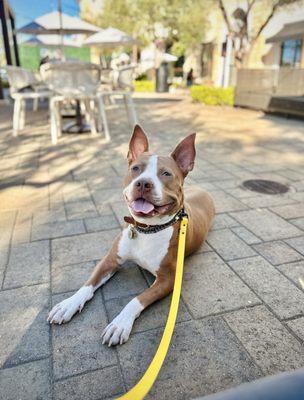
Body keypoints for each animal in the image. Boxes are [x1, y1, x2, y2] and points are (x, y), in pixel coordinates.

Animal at [48, 126, 214, 346]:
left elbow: (136, 300)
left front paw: (120, 324)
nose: (143, 183)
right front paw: (68, 304)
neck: (146, 230)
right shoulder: (110, 260)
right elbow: (87, 285)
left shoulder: (168, 279)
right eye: (136, 168)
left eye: (166, 173)